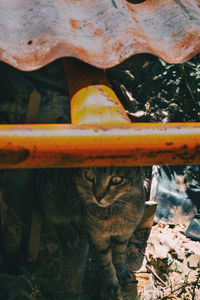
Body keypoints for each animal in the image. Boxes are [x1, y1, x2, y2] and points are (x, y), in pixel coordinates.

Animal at [75, 166, 145, 300]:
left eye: (116, 180)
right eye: (89, 175)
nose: (97, 197)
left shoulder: (124, 234)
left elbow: (119, 253)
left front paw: (120, 272)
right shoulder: (97, 236)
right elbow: (105, 262)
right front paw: (110, 285)